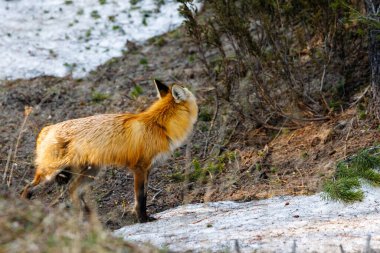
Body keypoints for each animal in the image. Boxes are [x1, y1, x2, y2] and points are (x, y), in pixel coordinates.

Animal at [20, 80, 199, 222]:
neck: (158, 125)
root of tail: (47, 128)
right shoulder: (140, 168)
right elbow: (141, 198)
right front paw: (143, 219)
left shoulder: (147, 169)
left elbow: (143, 196)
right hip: (51, 173)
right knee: (28, 188)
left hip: (91, 173)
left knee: (73, 191)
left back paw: (88, 216)